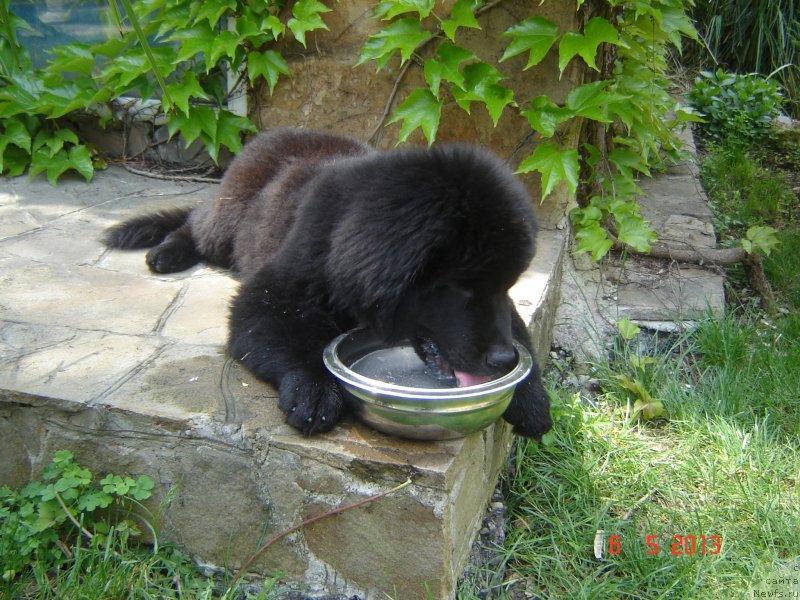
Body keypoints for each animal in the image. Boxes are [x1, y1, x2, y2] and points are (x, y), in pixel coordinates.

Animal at [104, 127, 552, 436]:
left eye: (506, 285)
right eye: (459, 288)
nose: (503, 361)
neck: (343, 236)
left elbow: (519, 331)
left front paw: (530, 396)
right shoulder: (271, 292)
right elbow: (288, 334)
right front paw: (315, 389)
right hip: (226, 220)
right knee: (195, 222)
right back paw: (167, 252)